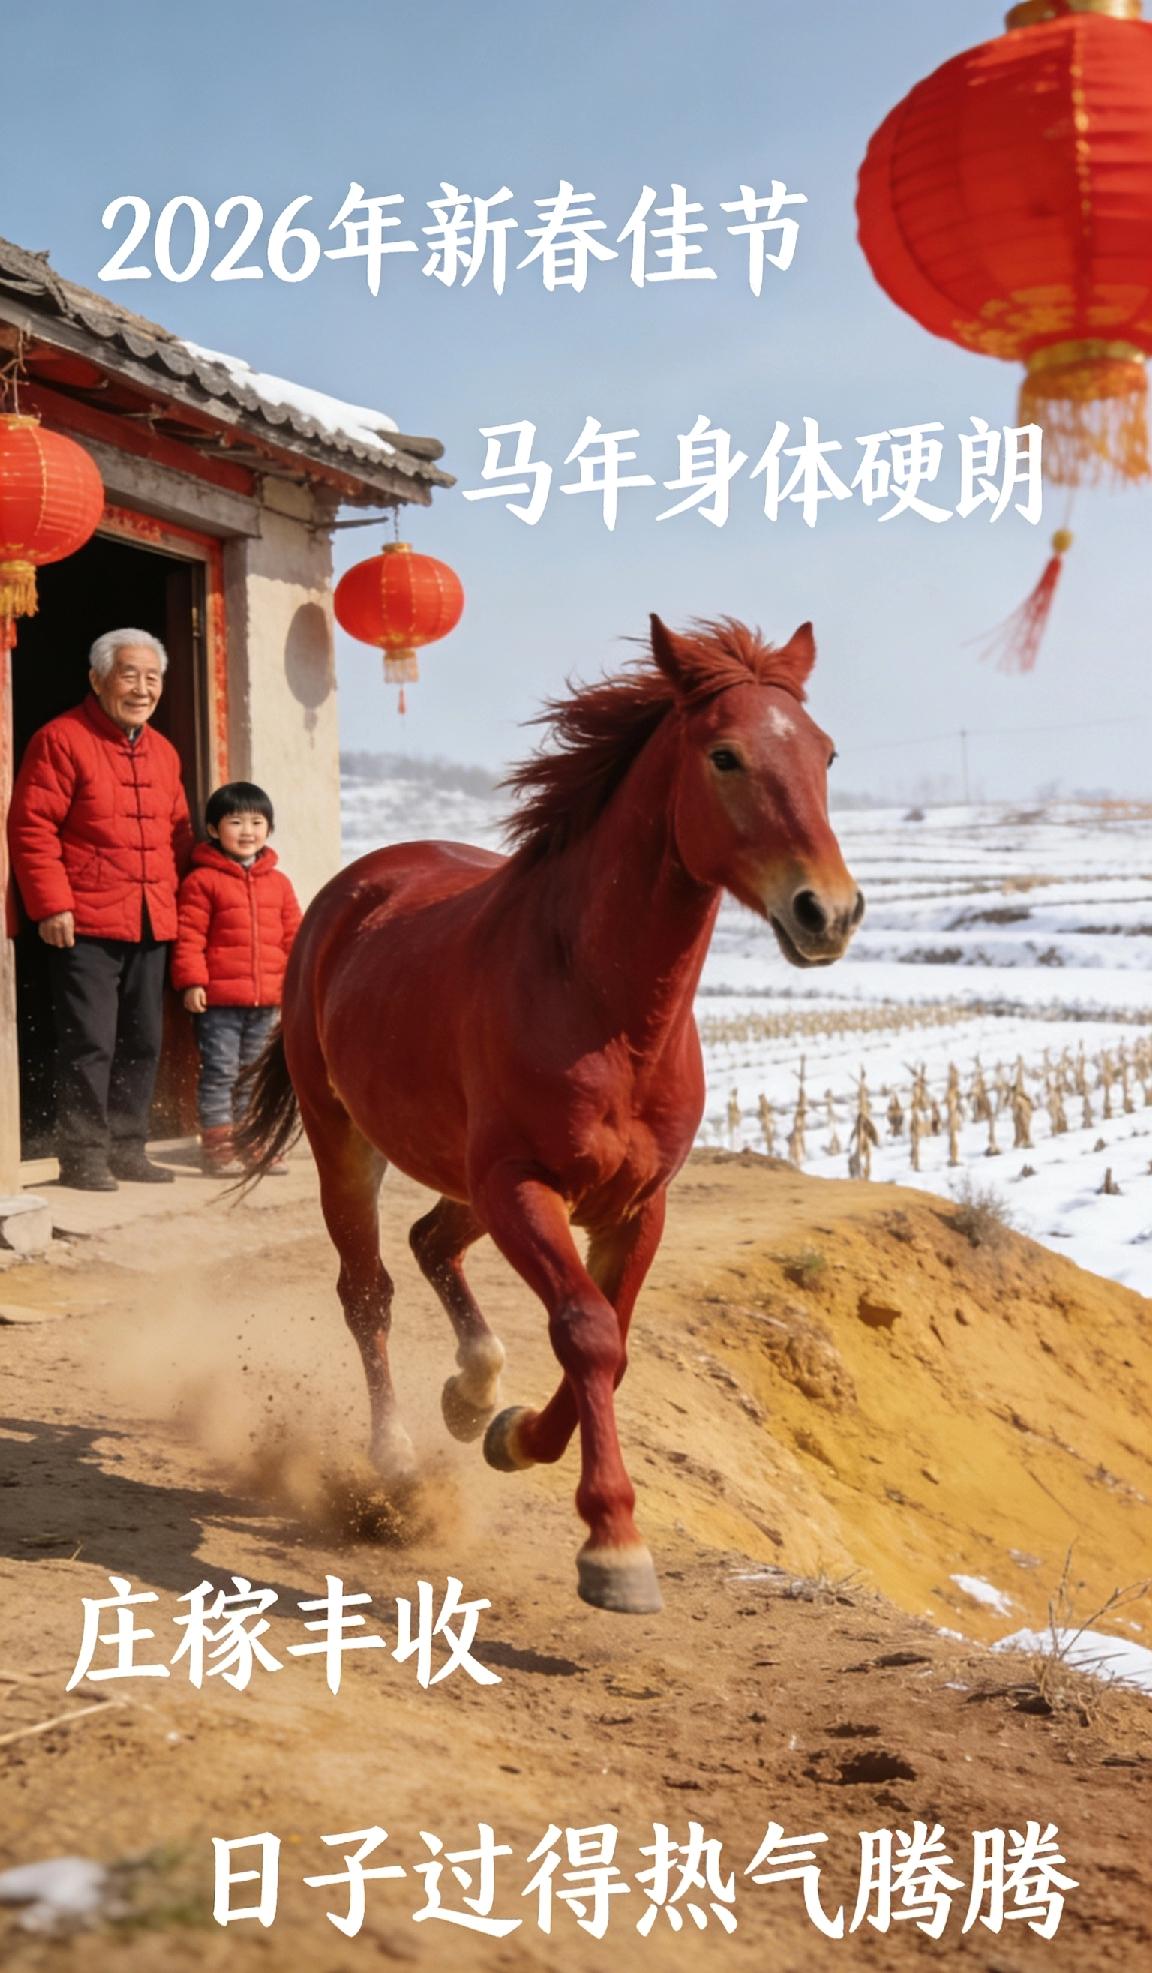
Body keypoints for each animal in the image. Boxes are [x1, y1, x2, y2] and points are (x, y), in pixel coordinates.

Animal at [237, 614, 863, 1615]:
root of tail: (354, 886)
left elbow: (615, 1338)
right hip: (352, 1142)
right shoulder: (520, 1183)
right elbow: (587, 1332)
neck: (606, 1009)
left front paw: (509, 1430)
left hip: (459, 1172)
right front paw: (613, 1546)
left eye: (826, 753)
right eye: (724, 754)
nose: (828, 912)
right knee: (368, 1290)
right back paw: (396, 1458)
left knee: (430, 1241)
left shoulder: (635, 1204)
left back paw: (469, 1391)